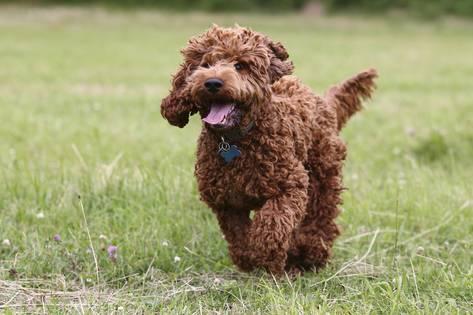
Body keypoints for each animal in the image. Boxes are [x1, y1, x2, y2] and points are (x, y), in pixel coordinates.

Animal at [159, 25, 376, 276]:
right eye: (204, 64)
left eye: (240, 65)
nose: (212, 83)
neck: (236, 140)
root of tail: (323, 102)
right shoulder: (226, 203)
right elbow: (238, 237)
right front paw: (249, 259)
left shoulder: (290, 186)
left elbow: (271, 226)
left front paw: (268, 258)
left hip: (323, 172)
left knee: (321, 214)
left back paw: (310, 251)